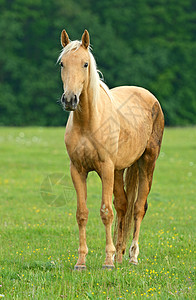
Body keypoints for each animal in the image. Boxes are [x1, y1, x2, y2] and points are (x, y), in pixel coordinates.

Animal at [57, 29, 165, 270]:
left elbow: (106, 212)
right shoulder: (77, 170)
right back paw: (121, 254)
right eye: (62, 64)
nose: (69, 99)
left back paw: (132, 256)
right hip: (119, 170)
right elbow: (82, 213)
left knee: (138, 207)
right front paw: (81, 262)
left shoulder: (105, 168)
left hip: (147, 162)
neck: (88, 122)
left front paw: (107, 262)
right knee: (123, 206)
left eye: (85, 64)